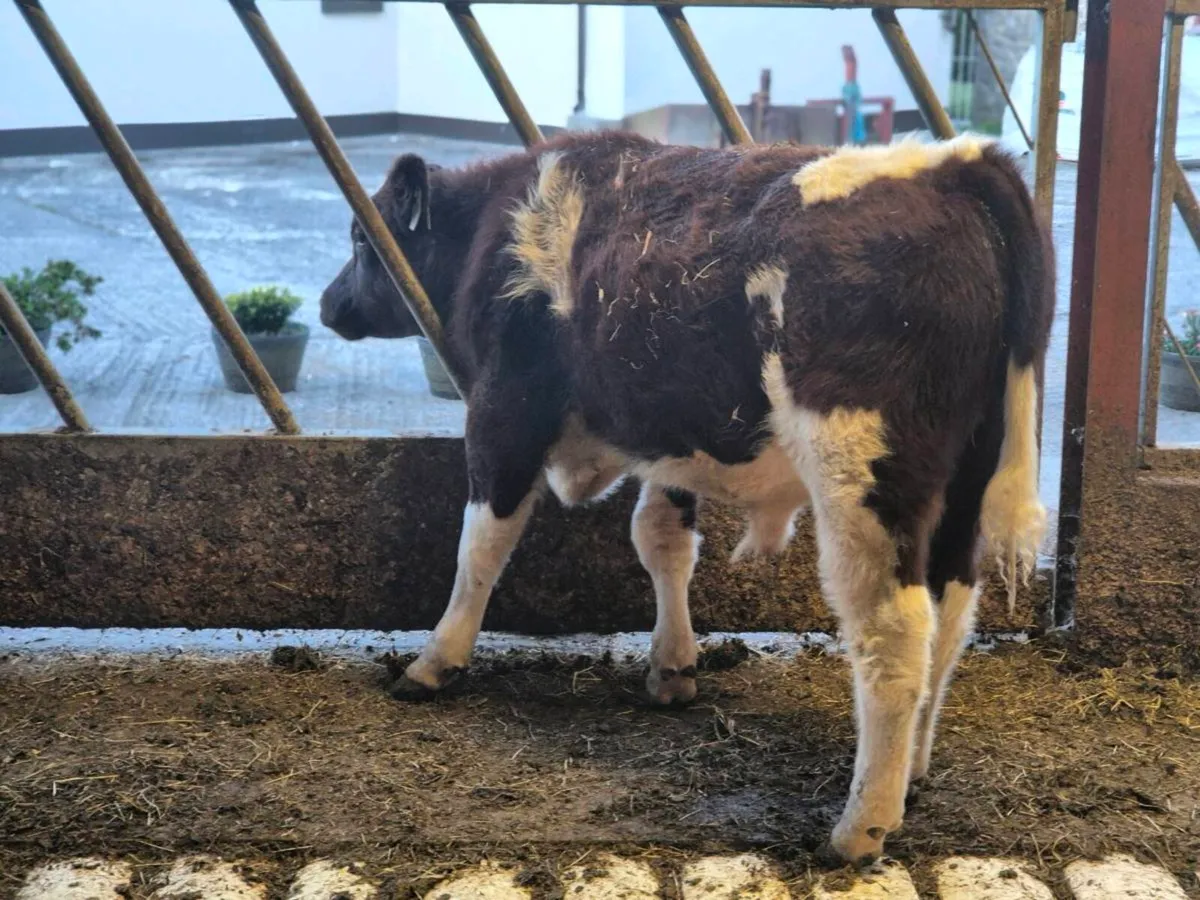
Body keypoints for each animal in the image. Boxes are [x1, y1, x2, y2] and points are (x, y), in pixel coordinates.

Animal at [319, 129, 1055, 864]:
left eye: (360, 238)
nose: (328, 305)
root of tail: (954, 162)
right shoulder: (667, 437)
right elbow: (662, 540)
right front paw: (672, 667)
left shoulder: (503, 412)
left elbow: (480, 548)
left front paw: (435, 662)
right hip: (967, 482)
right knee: (951, 616)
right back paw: (911, 773)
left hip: (864, 478)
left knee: (894, 632)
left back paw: (860, 826)